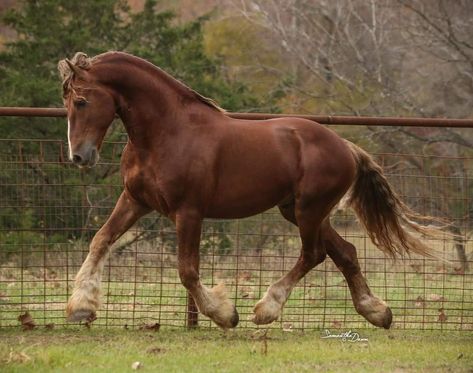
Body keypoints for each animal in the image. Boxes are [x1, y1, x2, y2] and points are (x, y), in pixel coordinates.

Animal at [60, 51, 438, 328]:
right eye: (67, 102)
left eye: (81, 101)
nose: (79, 156)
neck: (167, 132)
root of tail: (346, 146)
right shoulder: (136, 200)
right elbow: (101, 241)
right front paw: (81, 307)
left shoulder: (189, 212)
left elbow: (187, 271)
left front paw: (225, 314)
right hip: (298, 211)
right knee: (345, 252)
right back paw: (377, 312)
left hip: (309, 211)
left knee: (313, 254)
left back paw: (266, 308)